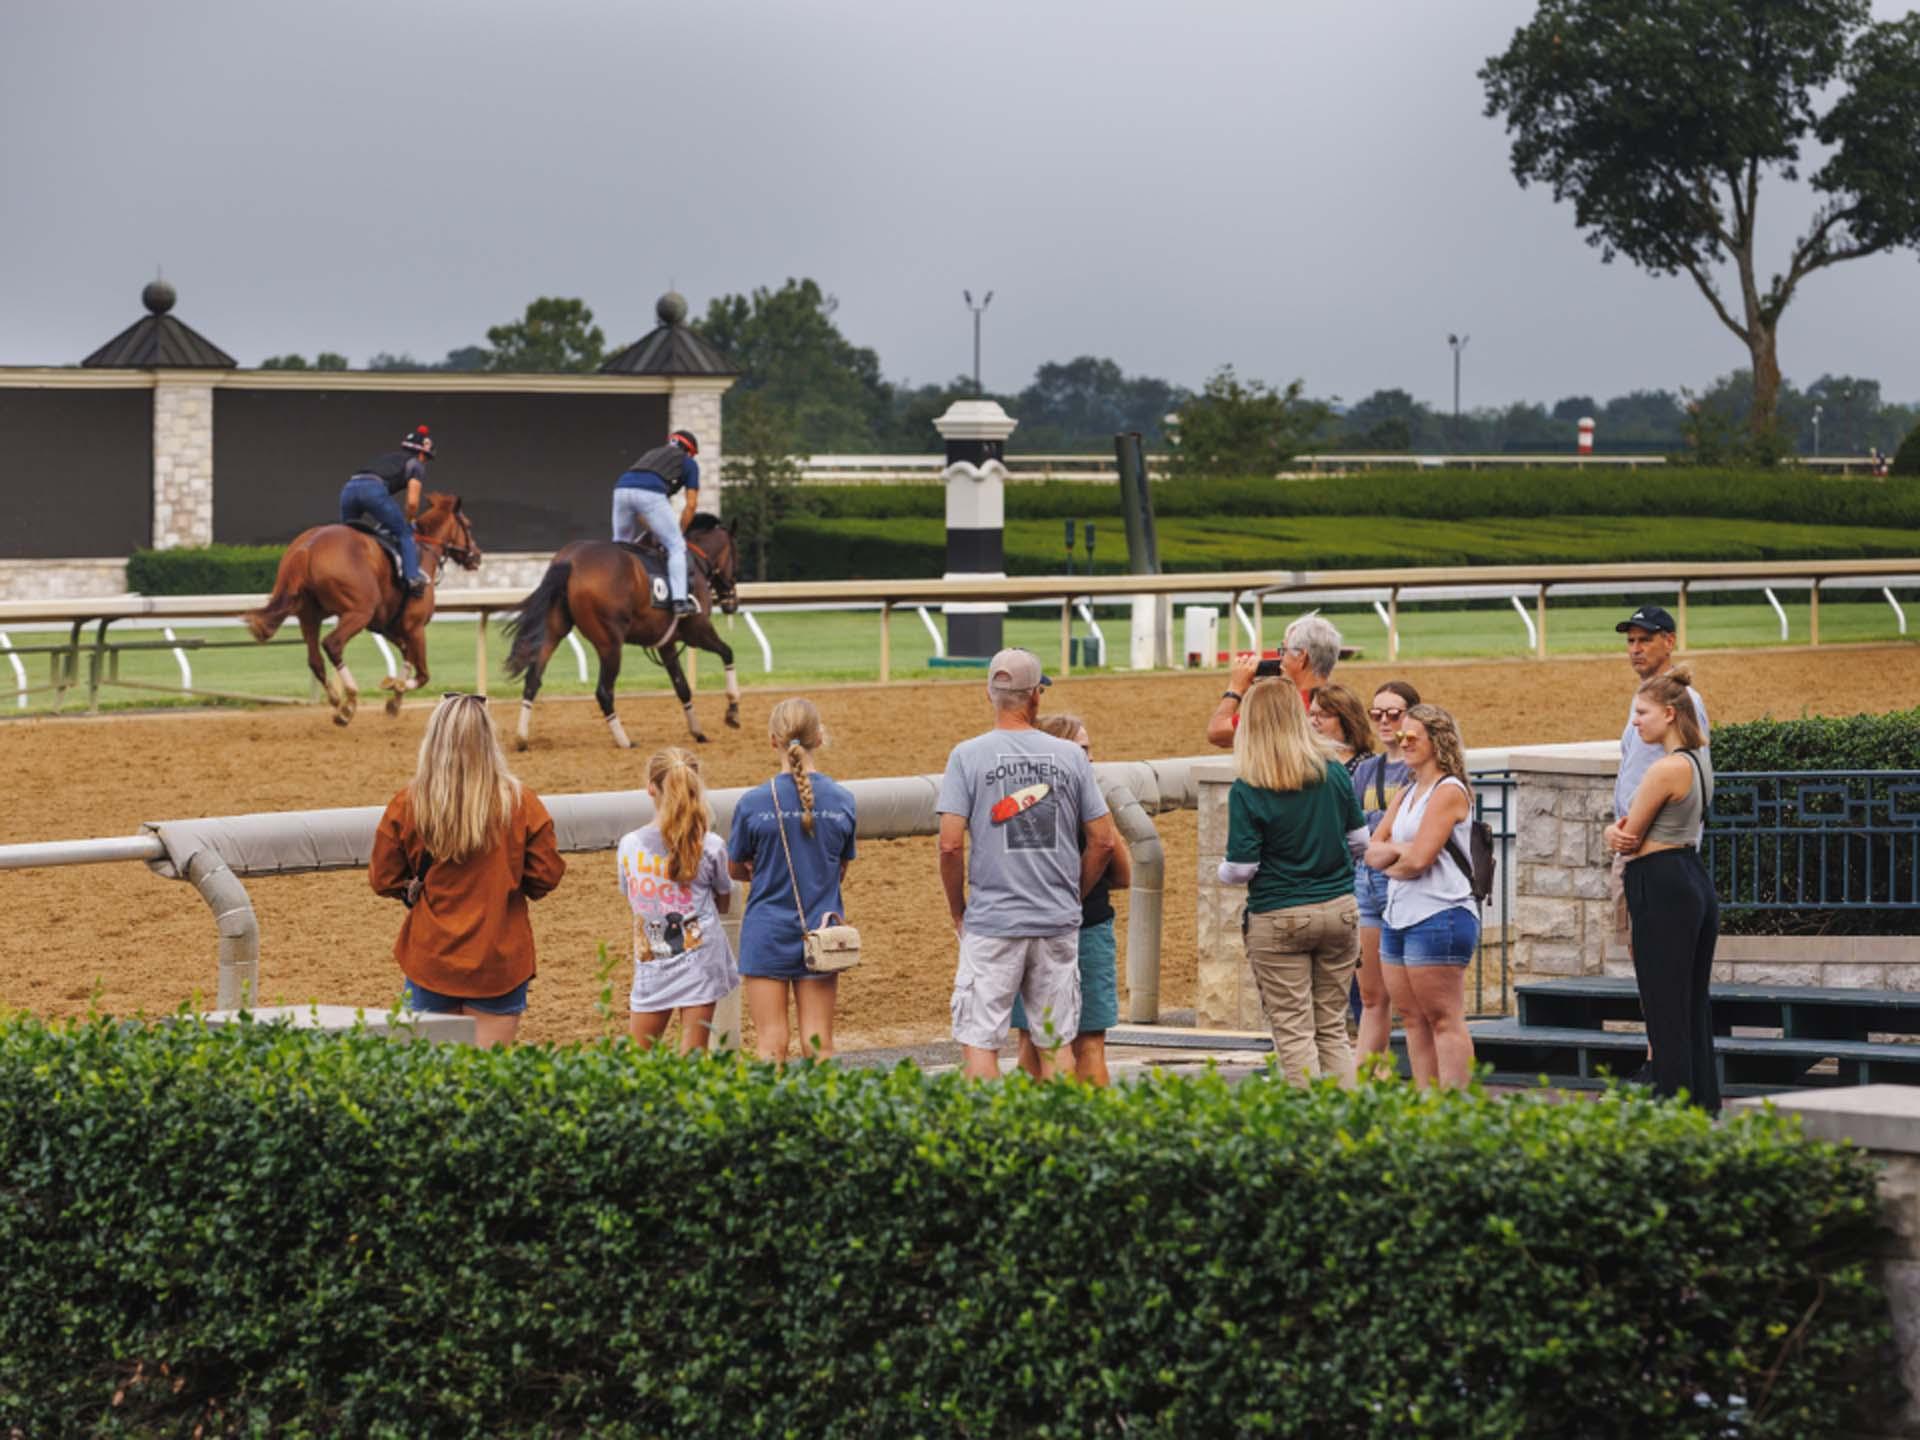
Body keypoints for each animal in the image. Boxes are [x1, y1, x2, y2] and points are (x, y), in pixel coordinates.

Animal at [241, 495, 480, 725]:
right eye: (468, 525)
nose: (477, 556)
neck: (423, 554)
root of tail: (308, 547)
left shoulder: (388, 627)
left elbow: (407, 655)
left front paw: (394, 701)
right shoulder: (415, 626)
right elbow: (422, 674)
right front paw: (397, 686)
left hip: (309, 615)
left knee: (315, 660)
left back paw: (336, 700)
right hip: (359, 612)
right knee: (333, 644)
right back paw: (349, 702)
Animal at [503, 518, 741, 748]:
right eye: (734, 555)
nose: (732, 602)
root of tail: (570, 560)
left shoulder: (666, 643)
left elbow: (682, 686)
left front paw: (698, 731)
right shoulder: (697, 631)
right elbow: (727, 652)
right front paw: (732, 711)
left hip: (553, 630)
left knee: (533, 679)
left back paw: (521, 738)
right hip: (610, 644)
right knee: (604, 692)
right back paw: (624, 740)